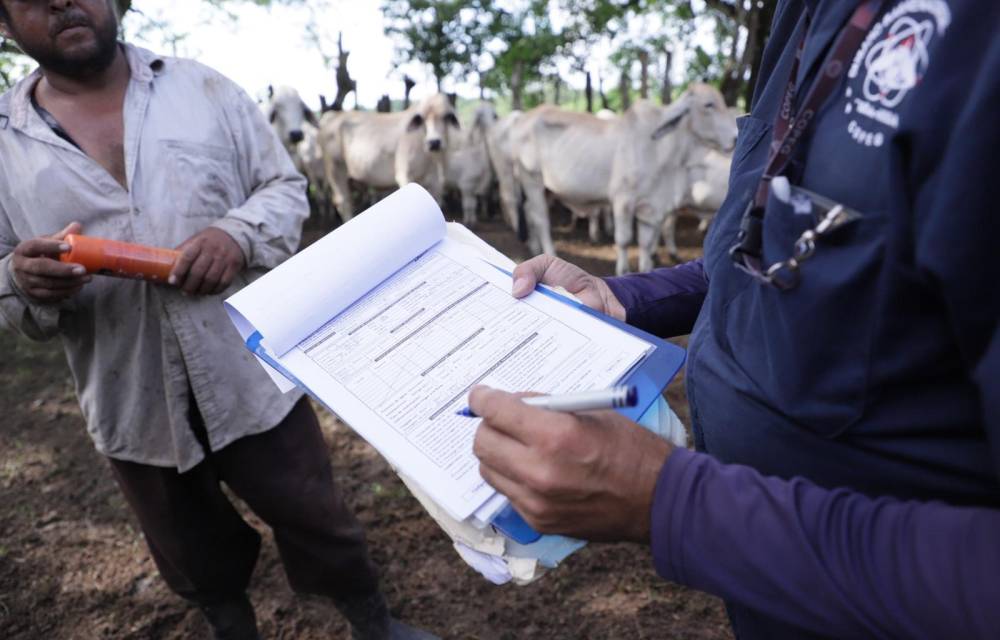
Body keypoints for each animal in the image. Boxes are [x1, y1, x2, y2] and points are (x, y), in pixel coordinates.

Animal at [320, 93, 460, 220]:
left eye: (447, 116)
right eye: (422, 118)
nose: (434, 142)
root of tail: (333, 116)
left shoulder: (437, 182)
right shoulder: (404, 174)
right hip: (335, 169)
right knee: (343, 202)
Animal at [516, 84, 736, 272]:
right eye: (708, 105)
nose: (735, 138)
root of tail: (526, 119)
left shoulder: (651, 207)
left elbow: (646, 244)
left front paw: (646, 269)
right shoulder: (623, 200)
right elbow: (624, 239)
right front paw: (622, 271)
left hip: (548, 190)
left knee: (529, 211)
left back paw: (533, 247)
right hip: (532, 179)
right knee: (540, 218)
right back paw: (549, 251)